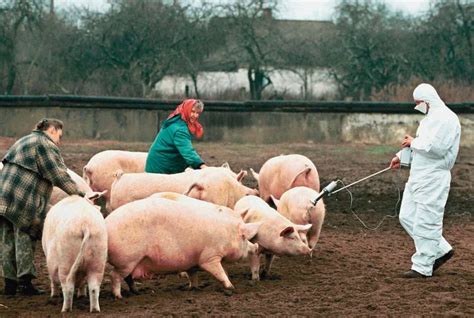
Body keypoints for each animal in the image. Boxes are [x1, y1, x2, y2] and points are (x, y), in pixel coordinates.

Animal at [106, 196, 262, 298]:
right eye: (244, 237)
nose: (255, 246)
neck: (227, 234)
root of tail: (107, 223)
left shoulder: (191, 261)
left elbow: (193, 275)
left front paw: (194, 288)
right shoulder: (209, 257)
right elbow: (219, 271)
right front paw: (231, 287)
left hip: (131, 262)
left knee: (128, 278)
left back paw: (136, 292)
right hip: (127, 260)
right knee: (114, 275)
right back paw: (119, 296)